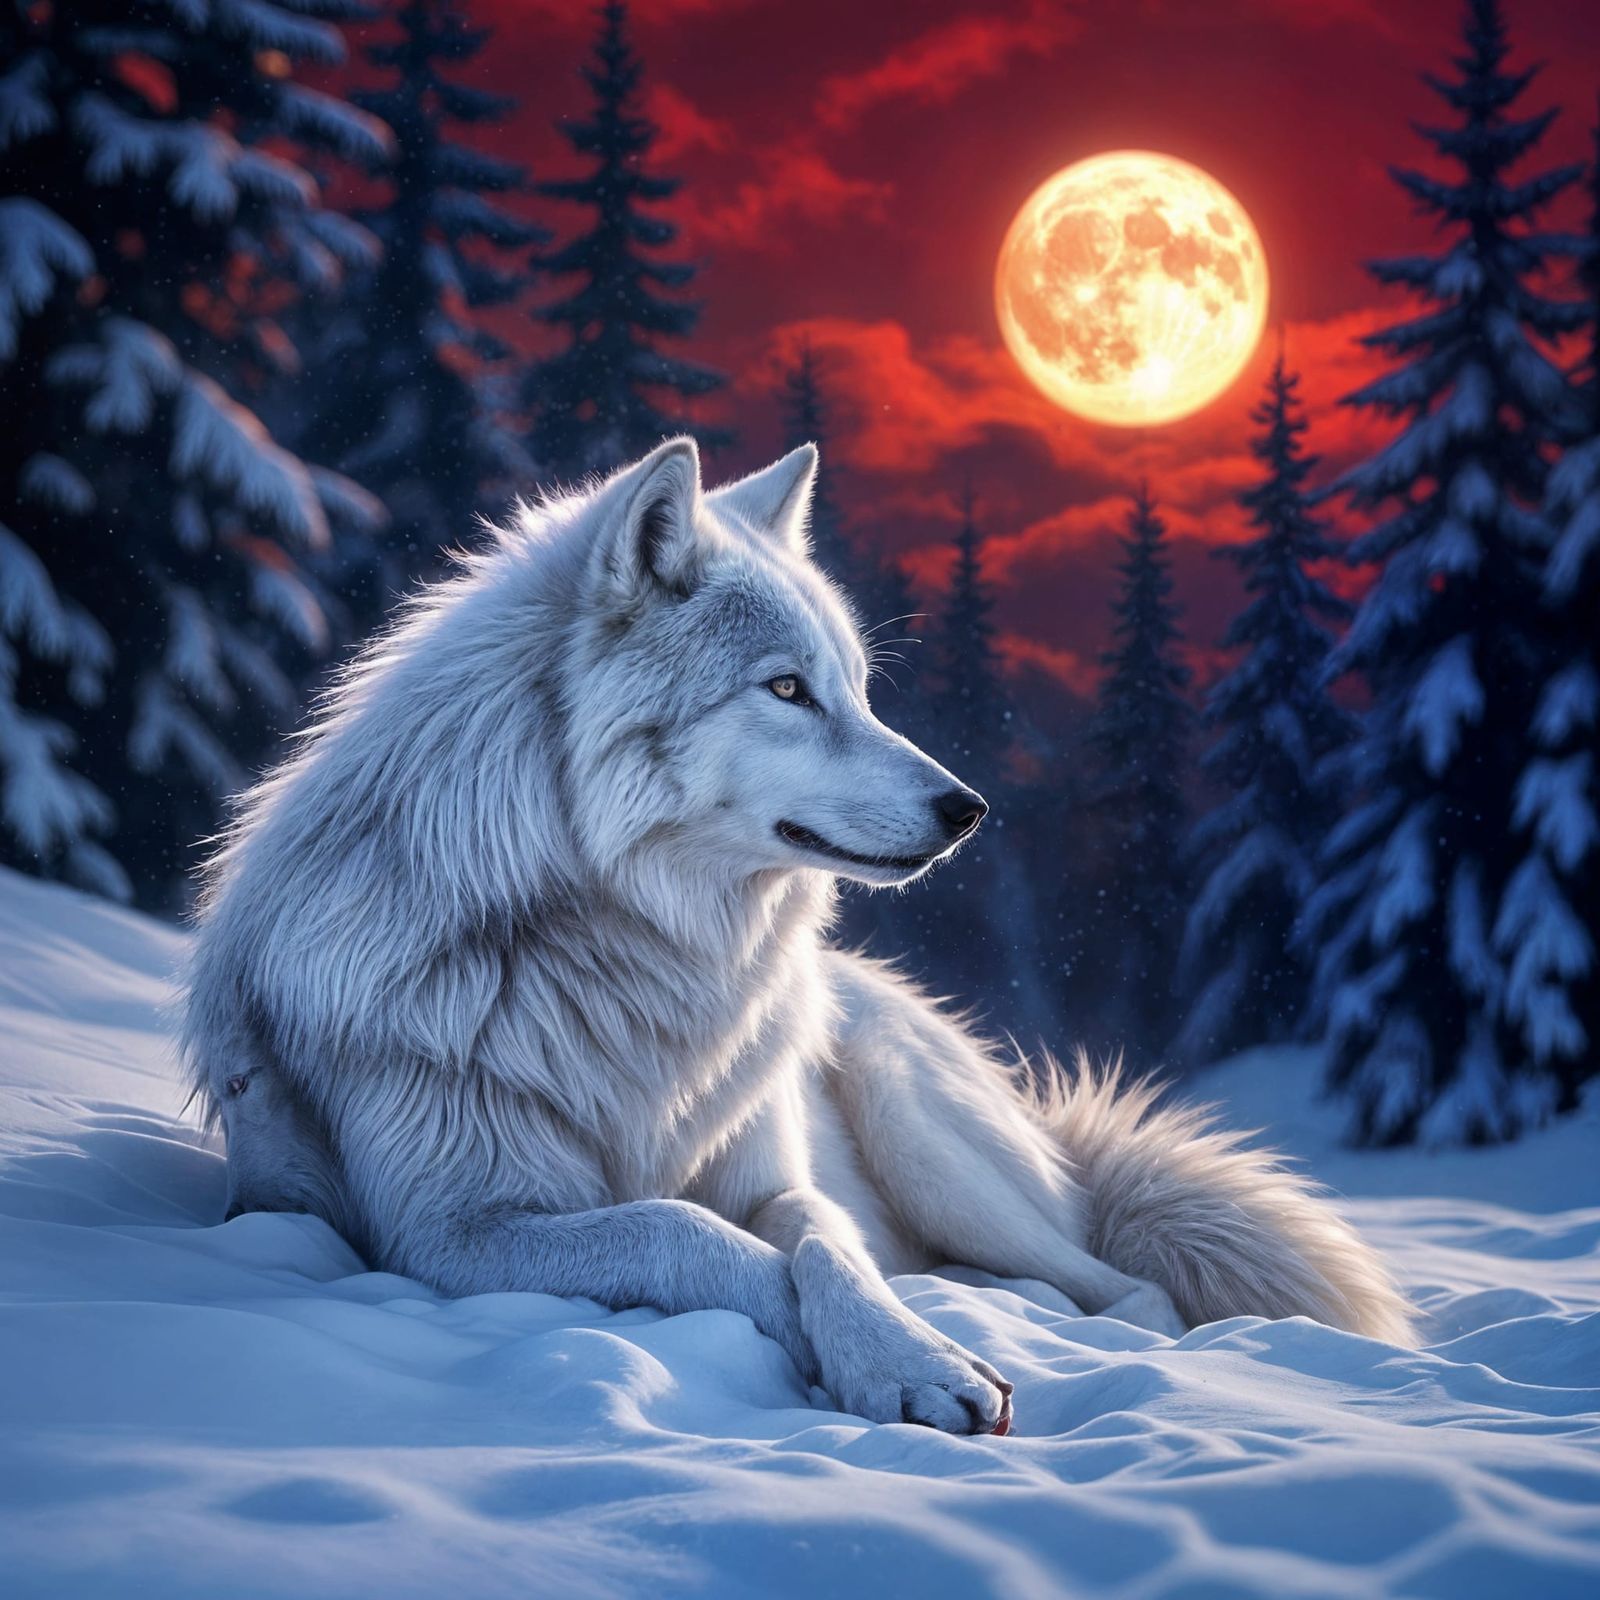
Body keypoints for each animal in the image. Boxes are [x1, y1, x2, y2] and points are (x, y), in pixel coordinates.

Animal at [183, 437, 1414, 1437]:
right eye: (785, 689)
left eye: (862, 690)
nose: (968, 809)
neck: (623, 950)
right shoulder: (449, 1235)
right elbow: (689, 1233)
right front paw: (904, 1361)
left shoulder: (773, 1170)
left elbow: (820, 1243)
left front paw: (910, 1352)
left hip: (920, 1133)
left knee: (1127, 1287)